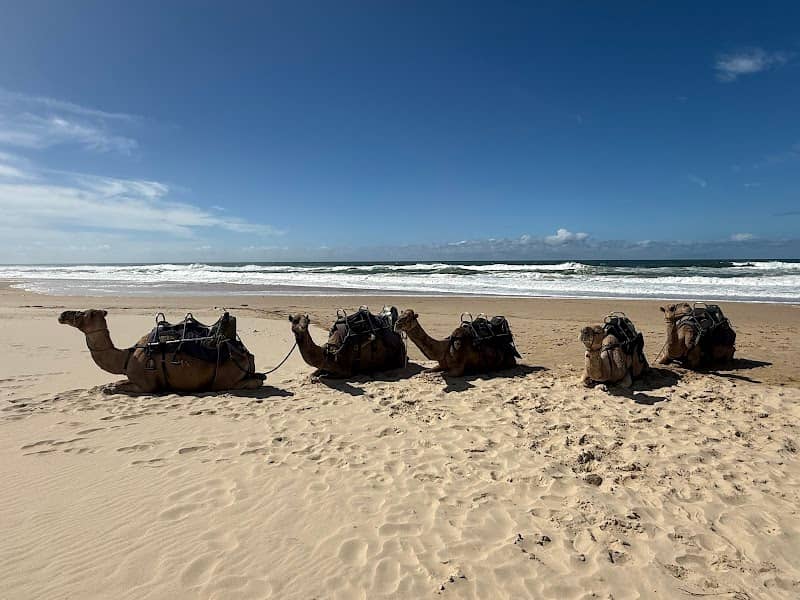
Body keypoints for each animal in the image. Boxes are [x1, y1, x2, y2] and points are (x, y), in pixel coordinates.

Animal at [58, 309, 265, 393]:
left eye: (82, 314)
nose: (62, 315)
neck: (126, 357)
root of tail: (247, 354)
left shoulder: (146, 386)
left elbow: (116, 386)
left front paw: (108, 389)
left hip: (225, 378)